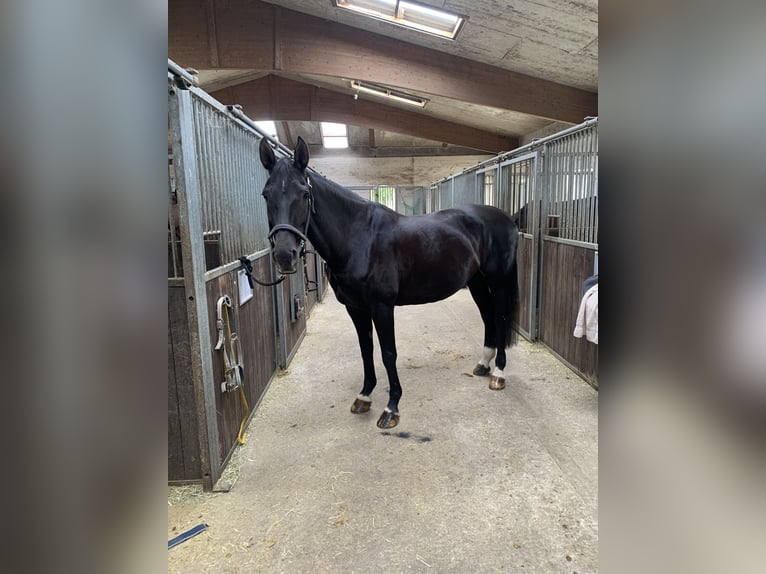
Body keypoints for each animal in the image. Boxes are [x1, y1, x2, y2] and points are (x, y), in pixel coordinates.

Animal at [259, 136, 520, 429]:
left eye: (304, 194)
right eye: (266, 194)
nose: (285, 255)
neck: (360, 238)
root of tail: (506, 218)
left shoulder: (382, 307)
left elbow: (388, 353)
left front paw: (391, 408)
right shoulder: (355, 308)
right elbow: (366, 350)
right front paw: (364, 396)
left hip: (499, 280)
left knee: (500, 317)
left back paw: (499, 373)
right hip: (476, 281)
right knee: (487, 315)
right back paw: (484, 365)